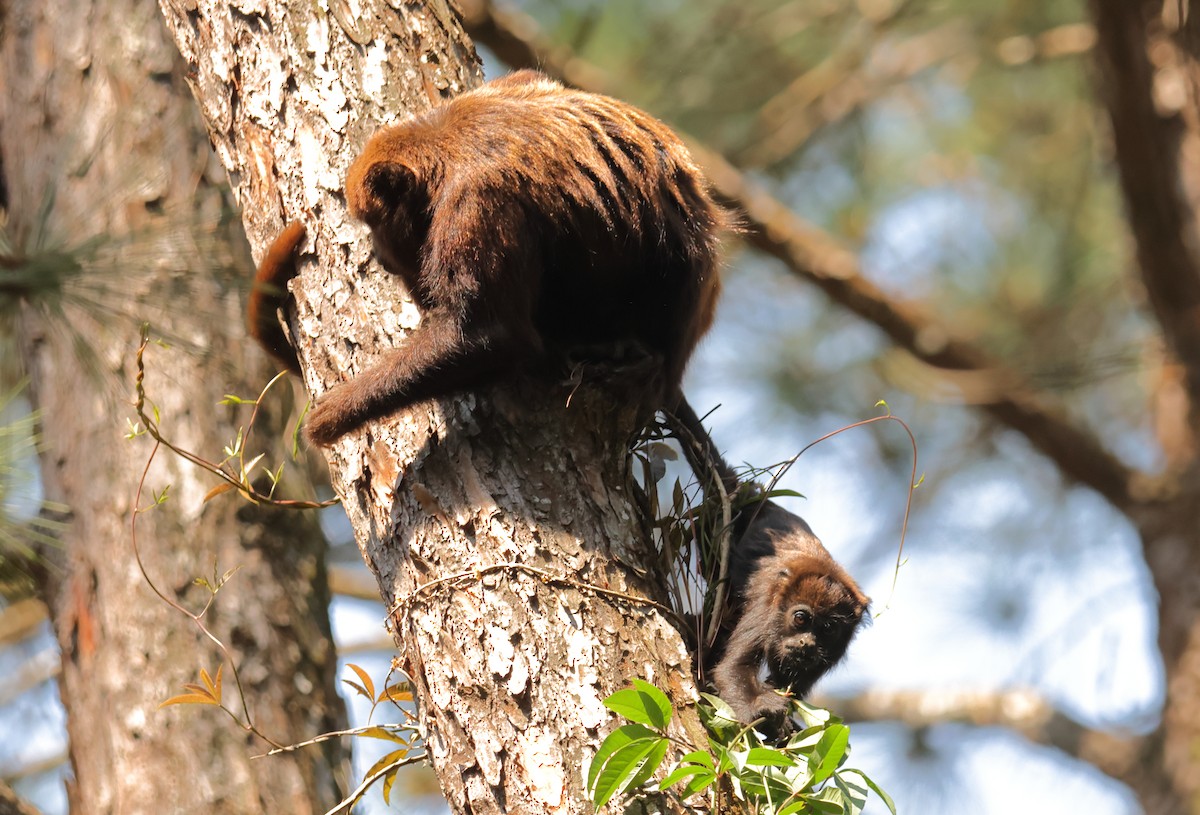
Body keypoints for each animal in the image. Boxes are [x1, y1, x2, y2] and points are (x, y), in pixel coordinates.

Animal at [247, 70, 728, 446]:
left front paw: (327, 416)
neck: (444, 142)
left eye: (375, 227)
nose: (377, 254)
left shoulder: (476, 201)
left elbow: (489, 334)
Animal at [671, 400, 869, 739]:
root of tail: (754, 500)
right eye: (801, 618)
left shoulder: (839, 644)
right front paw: (759, 710)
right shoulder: (765, 610)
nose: (807, 643)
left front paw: (784, 721)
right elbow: (733, 668)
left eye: (829, 629)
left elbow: (791, 688)